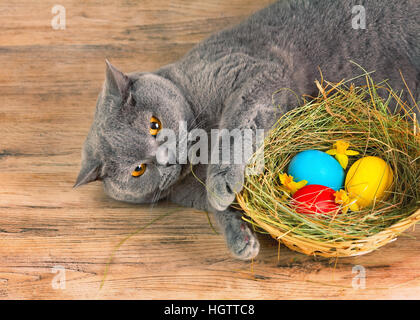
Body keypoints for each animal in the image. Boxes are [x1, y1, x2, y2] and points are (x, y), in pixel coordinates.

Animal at [75, 0, 420, 260]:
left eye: (154, 124)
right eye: (138, 170)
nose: (168, 159)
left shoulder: (254, 73)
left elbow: (235, 126)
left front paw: (221, 181)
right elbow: (221, 210)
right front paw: (241, 239)